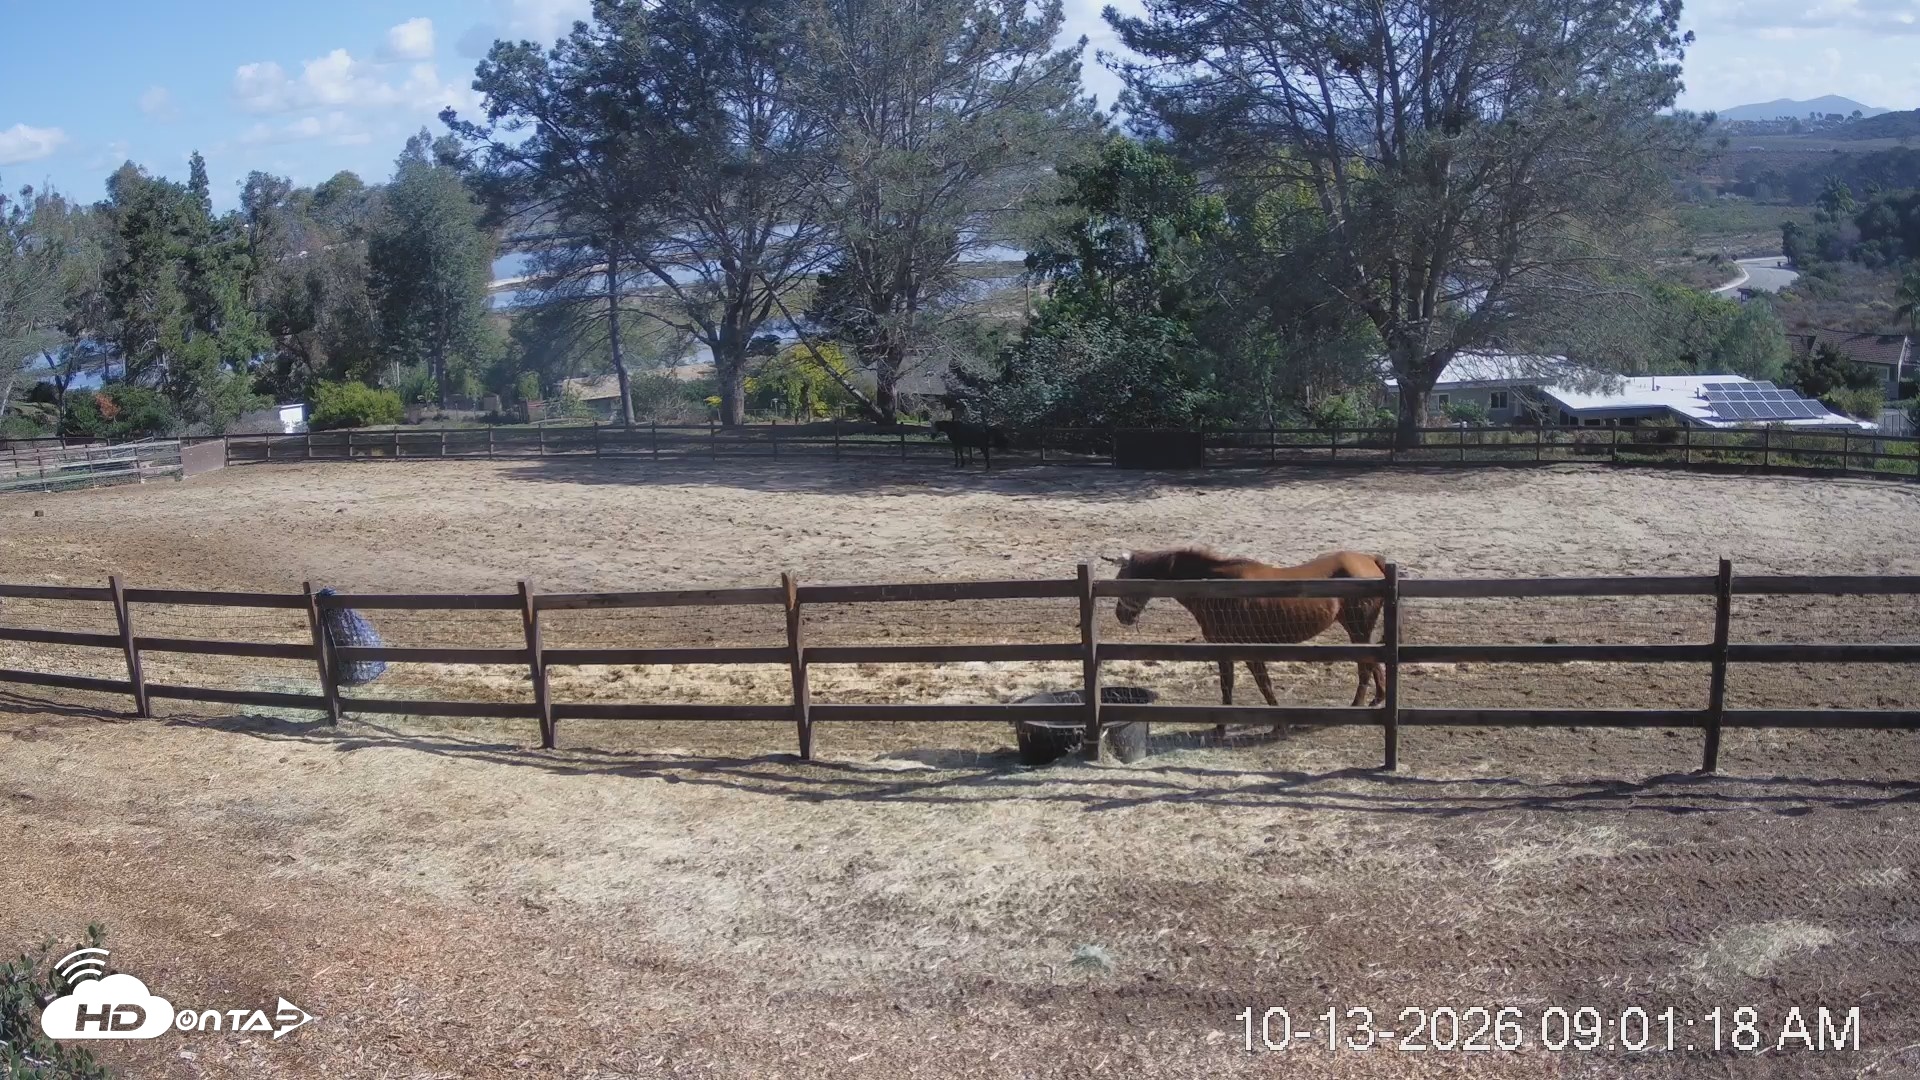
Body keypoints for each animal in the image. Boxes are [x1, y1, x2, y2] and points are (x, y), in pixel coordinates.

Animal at [1104, 548, 1389, 736]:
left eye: (1120, 581)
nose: (1121, 615)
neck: (1218, 588)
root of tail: (1370, 560)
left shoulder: (1249, 649)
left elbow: (1264, 684)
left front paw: (1279, 723)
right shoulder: (1224, 649)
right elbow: (1227, 685)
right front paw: (1220, 727)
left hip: (1358, 630)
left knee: (1365, 667)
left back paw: (1357, 705)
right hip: (1358, 632)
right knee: (1374, 664)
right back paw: (1377, 699)